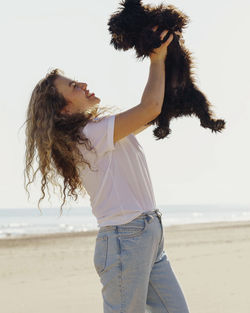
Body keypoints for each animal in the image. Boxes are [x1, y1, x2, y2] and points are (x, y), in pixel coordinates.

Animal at [107, 0, 227, 139]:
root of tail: (179, 108)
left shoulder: (175, 25)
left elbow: (168, 13)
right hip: (162, 106)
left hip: (198, 97)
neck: (142, 24)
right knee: (164, 121)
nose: (113, 38)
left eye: (116, 21)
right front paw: (152, 37)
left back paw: (216, 123)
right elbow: (143, 39)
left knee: (204, 117)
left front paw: (162, 17)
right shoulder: (141, 46)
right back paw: (161, 131)